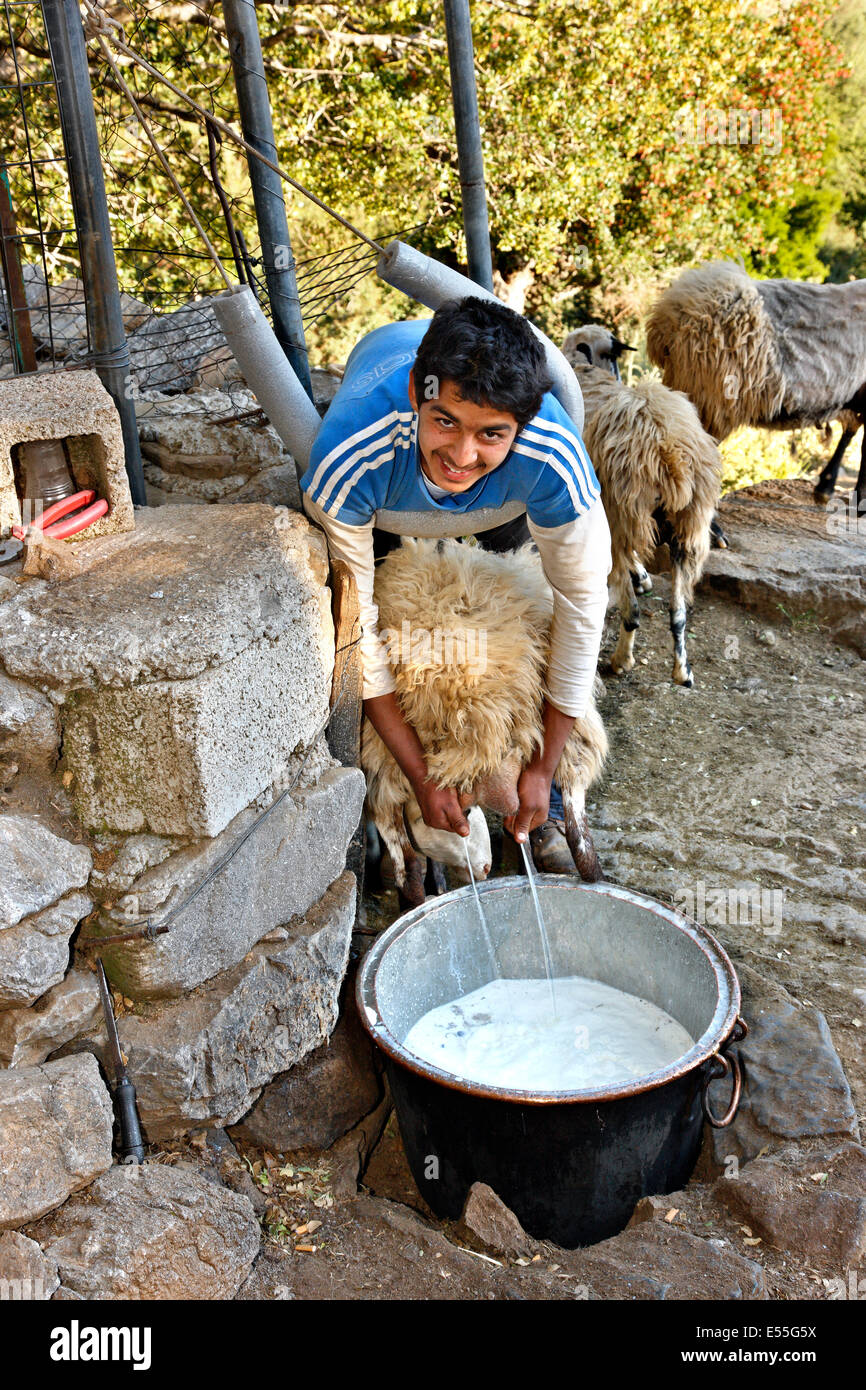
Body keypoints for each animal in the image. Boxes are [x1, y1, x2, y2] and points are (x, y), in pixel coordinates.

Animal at [561, 330, 717, 689]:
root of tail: (666, 451)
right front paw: (644, 577)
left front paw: (641, 577)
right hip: (685, 529)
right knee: (678, 613)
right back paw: (682, 671)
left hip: (621, 514)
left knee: (631, 611)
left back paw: (621, 660)